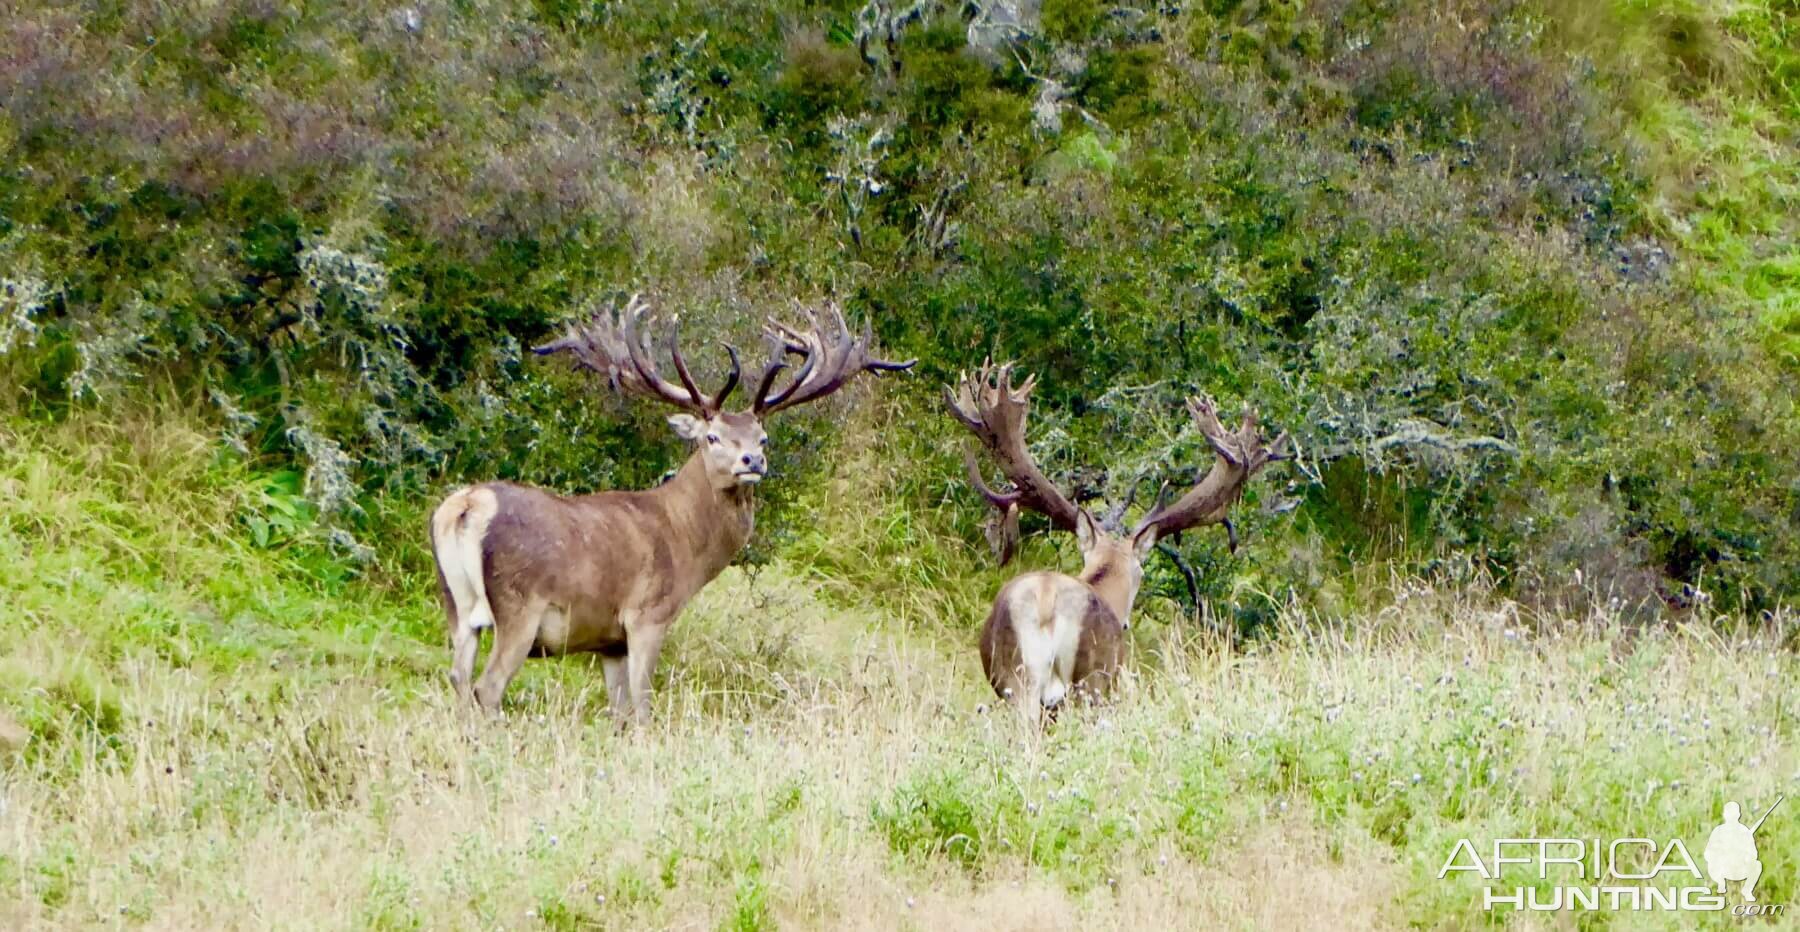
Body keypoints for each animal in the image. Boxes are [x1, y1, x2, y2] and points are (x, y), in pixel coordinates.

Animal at [435, 296, 914, 719]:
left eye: (762, 437)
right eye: (713, 436)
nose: (752, 461)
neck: (682, 540)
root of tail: (466, 506)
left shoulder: (609, 641)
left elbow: (619, 711)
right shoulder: (647, 614)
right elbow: (643, 707)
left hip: (455, 606)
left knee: (458, 678)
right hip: (520, 607)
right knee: (486, 687)